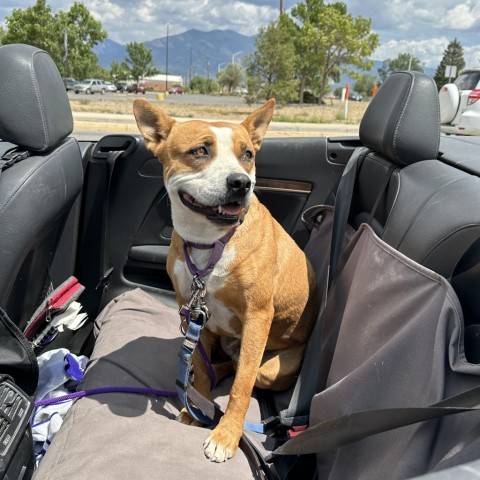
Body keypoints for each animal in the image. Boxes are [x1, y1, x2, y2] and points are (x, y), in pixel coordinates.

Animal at [133, 99, 316, 464]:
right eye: (200, 150)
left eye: (247, 154)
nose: (241, 183)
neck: (209, 241)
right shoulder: (192, 311)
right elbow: (201, 367)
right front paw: (199, 405)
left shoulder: (258, 316)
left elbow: (242, 386)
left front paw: (227, 434)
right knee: (220, 363)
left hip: (272, 368)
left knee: (243, 369)